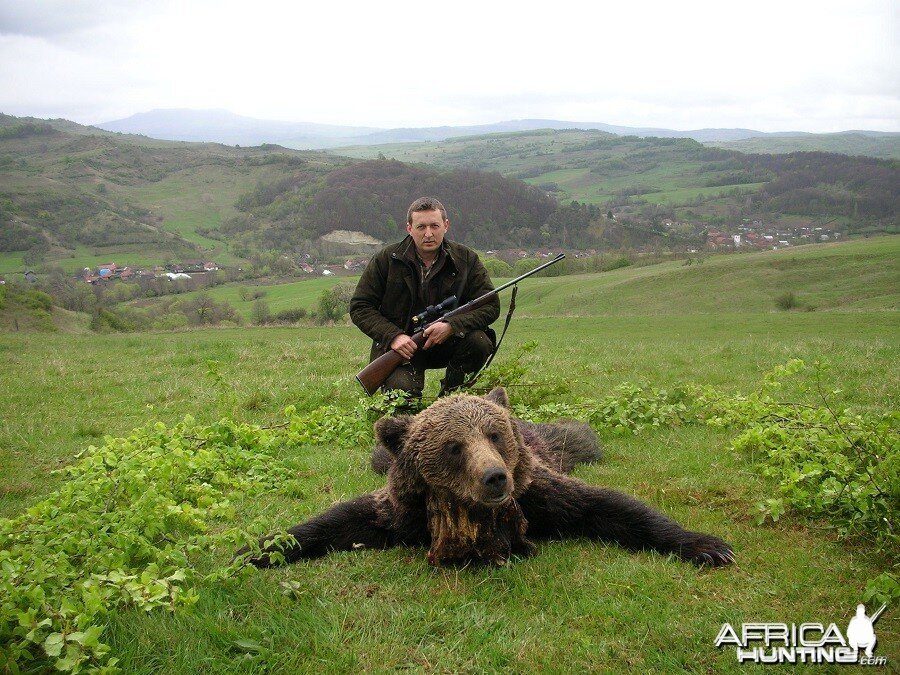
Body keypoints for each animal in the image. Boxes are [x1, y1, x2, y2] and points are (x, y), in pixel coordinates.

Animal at [236, 388, 736, 568]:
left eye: (494, 435)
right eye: (454, 446)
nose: (495, 478)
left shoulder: (538, 494)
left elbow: (607, 506)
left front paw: (706, 544)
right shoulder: (400, 510)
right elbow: (343, 520)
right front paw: (257, 549)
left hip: (552, 441)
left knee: (580, 437)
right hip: (381, 454)